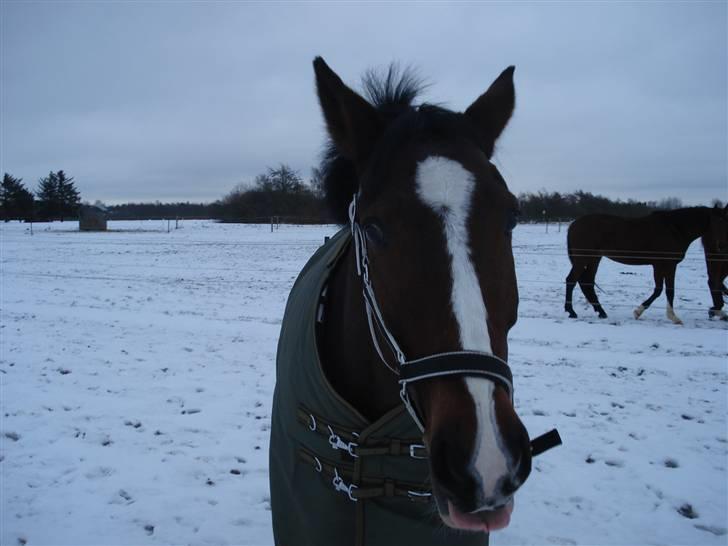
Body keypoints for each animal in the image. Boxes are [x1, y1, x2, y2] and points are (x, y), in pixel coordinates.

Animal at [564, 206, 728, 320]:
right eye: (717, 222)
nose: (722, 246)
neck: (674, 229)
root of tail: (574, 224)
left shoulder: (662, 265)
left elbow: (660, 290)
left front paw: (640, 311)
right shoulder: (666, 265)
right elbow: (667, 290)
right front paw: (672, 317)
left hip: (594, 258)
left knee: (587, 283)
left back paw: (601, 312)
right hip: (583, 258)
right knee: (572, 280)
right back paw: (571, 311)